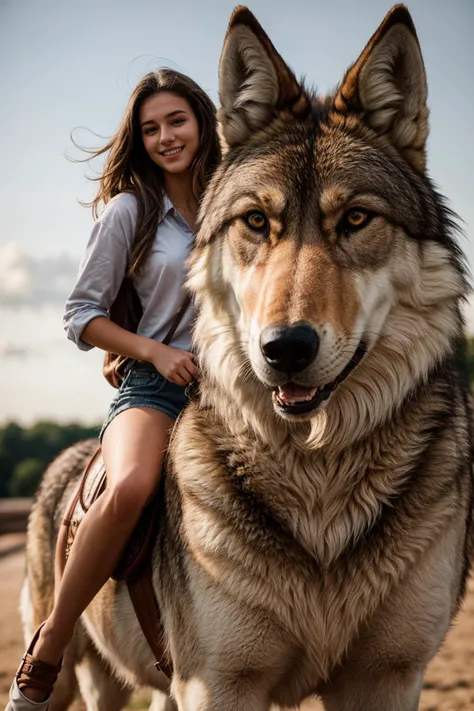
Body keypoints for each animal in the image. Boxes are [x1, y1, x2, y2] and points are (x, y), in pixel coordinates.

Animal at [22, 4, 473, 711]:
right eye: (257, 221)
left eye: (356, 219)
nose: (284, 348)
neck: (319, 488)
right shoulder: (218, 681)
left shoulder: (388, 676)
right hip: (77, 670)